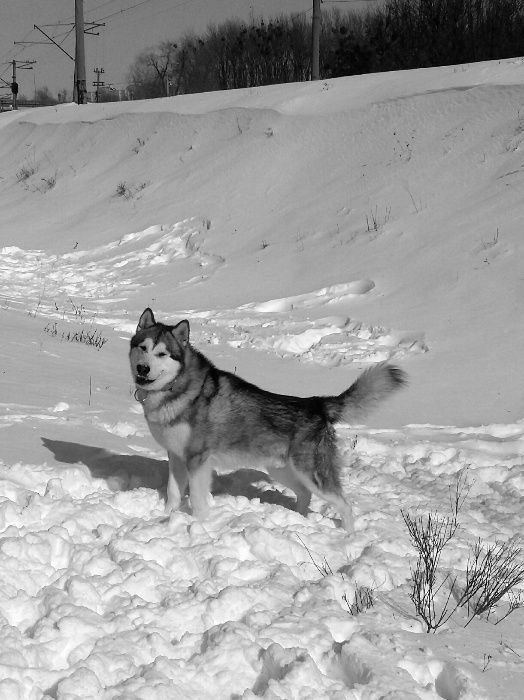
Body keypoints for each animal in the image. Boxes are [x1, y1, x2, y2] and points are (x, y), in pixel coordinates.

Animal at [129, 308, 408, 532]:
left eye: (163, 354)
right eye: (143, 348)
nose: (143, 368)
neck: (175, 389)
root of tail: (317, 403)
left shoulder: (198, 460)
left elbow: (197, 500)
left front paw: (198, 525)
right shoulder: (176, 455)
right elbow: (173, 493)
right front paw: (166, 517)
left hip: (312, 473)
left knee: (344, 504)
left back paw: (349, 535)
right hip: (281, 468)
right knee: (305, 494)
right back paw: (298, 519)